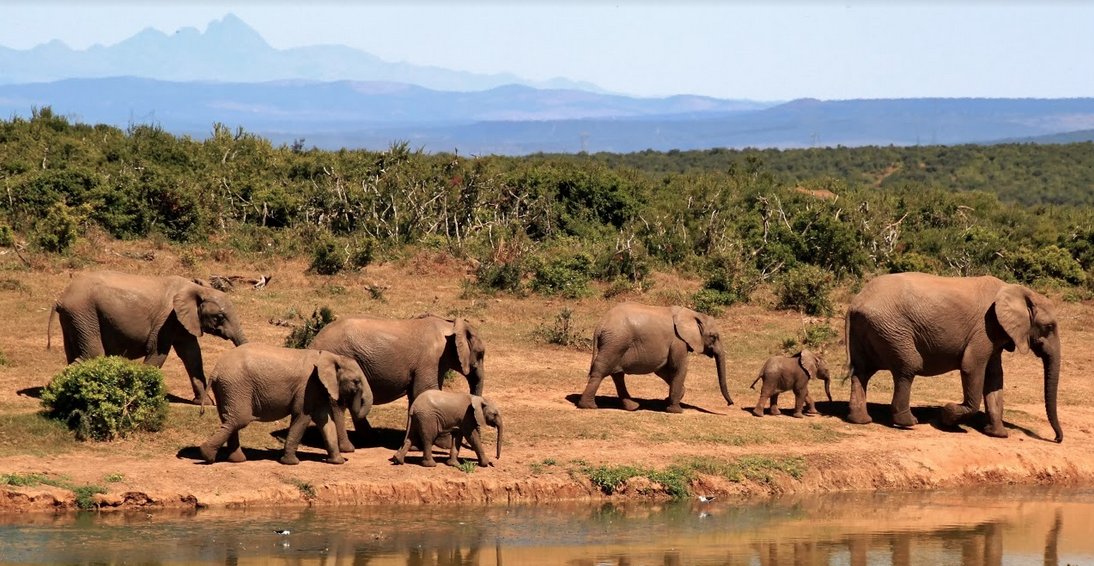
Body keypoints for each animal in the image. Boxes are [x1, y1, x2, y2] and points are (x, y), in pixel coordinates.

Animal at [48, 271, 247, 403]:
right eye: (219, 317)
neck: (197, 288)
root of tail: (60, 299)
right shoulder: (167, 319)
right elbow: (158, 352)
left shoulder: (183, 321)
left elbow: (192, 355)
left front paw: (204, 403)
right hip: (84, 314)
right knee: (92, 354)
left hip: (75, 318)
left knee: (75, 354)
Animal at [198, 343, 370, 465]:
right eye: (356, 382)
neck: (330, 357)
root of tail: (215, 371)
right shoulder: (307, 387)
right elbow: (302, 417)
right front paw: (291, 463)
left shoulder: (317, 388)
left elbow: (325, 420)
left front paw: (337, 462)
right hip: (236, 386)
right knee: (239, 419)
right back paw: (207, 455)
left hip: (227, 388)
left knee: (230, 419)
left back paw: (236, 460)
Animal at [308, 314, 485, 452]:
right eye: (481, 353)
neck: (449, 324)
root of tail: (313, 343)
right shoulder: (431, 359)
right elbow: (425, 390)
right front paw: (444, 445)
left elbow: (417, 396)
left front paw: (414, 446)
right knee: (338, 403)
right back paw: (349, 447)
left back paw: (371, 439)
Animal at [577, 303, 732, 413]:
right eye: (714, 337)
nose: (730, 404)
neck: (692, 314)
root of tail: (600, 325)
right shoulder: (678, 341)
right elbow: (678, 367)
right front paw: (676, 410)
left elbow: (663, 370)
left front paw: (671, 398)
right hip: (616, 342)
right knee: (601, 370)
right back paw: (589, 406)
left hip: (616, 343)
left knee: (617, 374)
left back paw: (633, 407)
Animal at [846, 272, 1062, 442]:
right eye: (1049, 326)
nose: (1056, 439)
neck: (1018, 291)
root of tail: (855, 303)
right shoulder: (985, 329)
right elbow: (971, 367)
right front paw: (946, 416)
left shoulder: (995, 334)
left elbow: (995, 378)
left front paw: (997, 434)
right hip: (892, 329)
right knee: (908, 366)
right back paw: (908, 422)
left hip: (871, 329)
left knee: (862, 371)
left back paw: (861, 420)